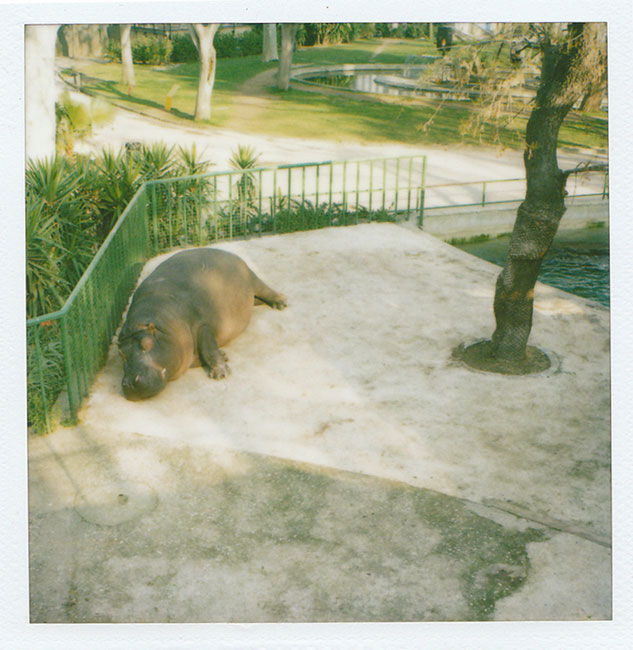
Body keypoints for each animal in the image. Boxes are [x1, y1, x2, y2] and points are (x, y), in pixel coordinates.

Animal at [117, 248, 287, 400]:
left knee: (265, 289)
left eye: (147, 343)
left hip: (251, 277)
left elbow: (208, 347)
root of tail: (227, 252)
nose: (130, 384)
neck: (162, 325)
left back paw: (280, 303)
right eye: (121, 354)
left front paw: (221, 373)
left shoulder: (202, 325)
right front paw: (223, 356)